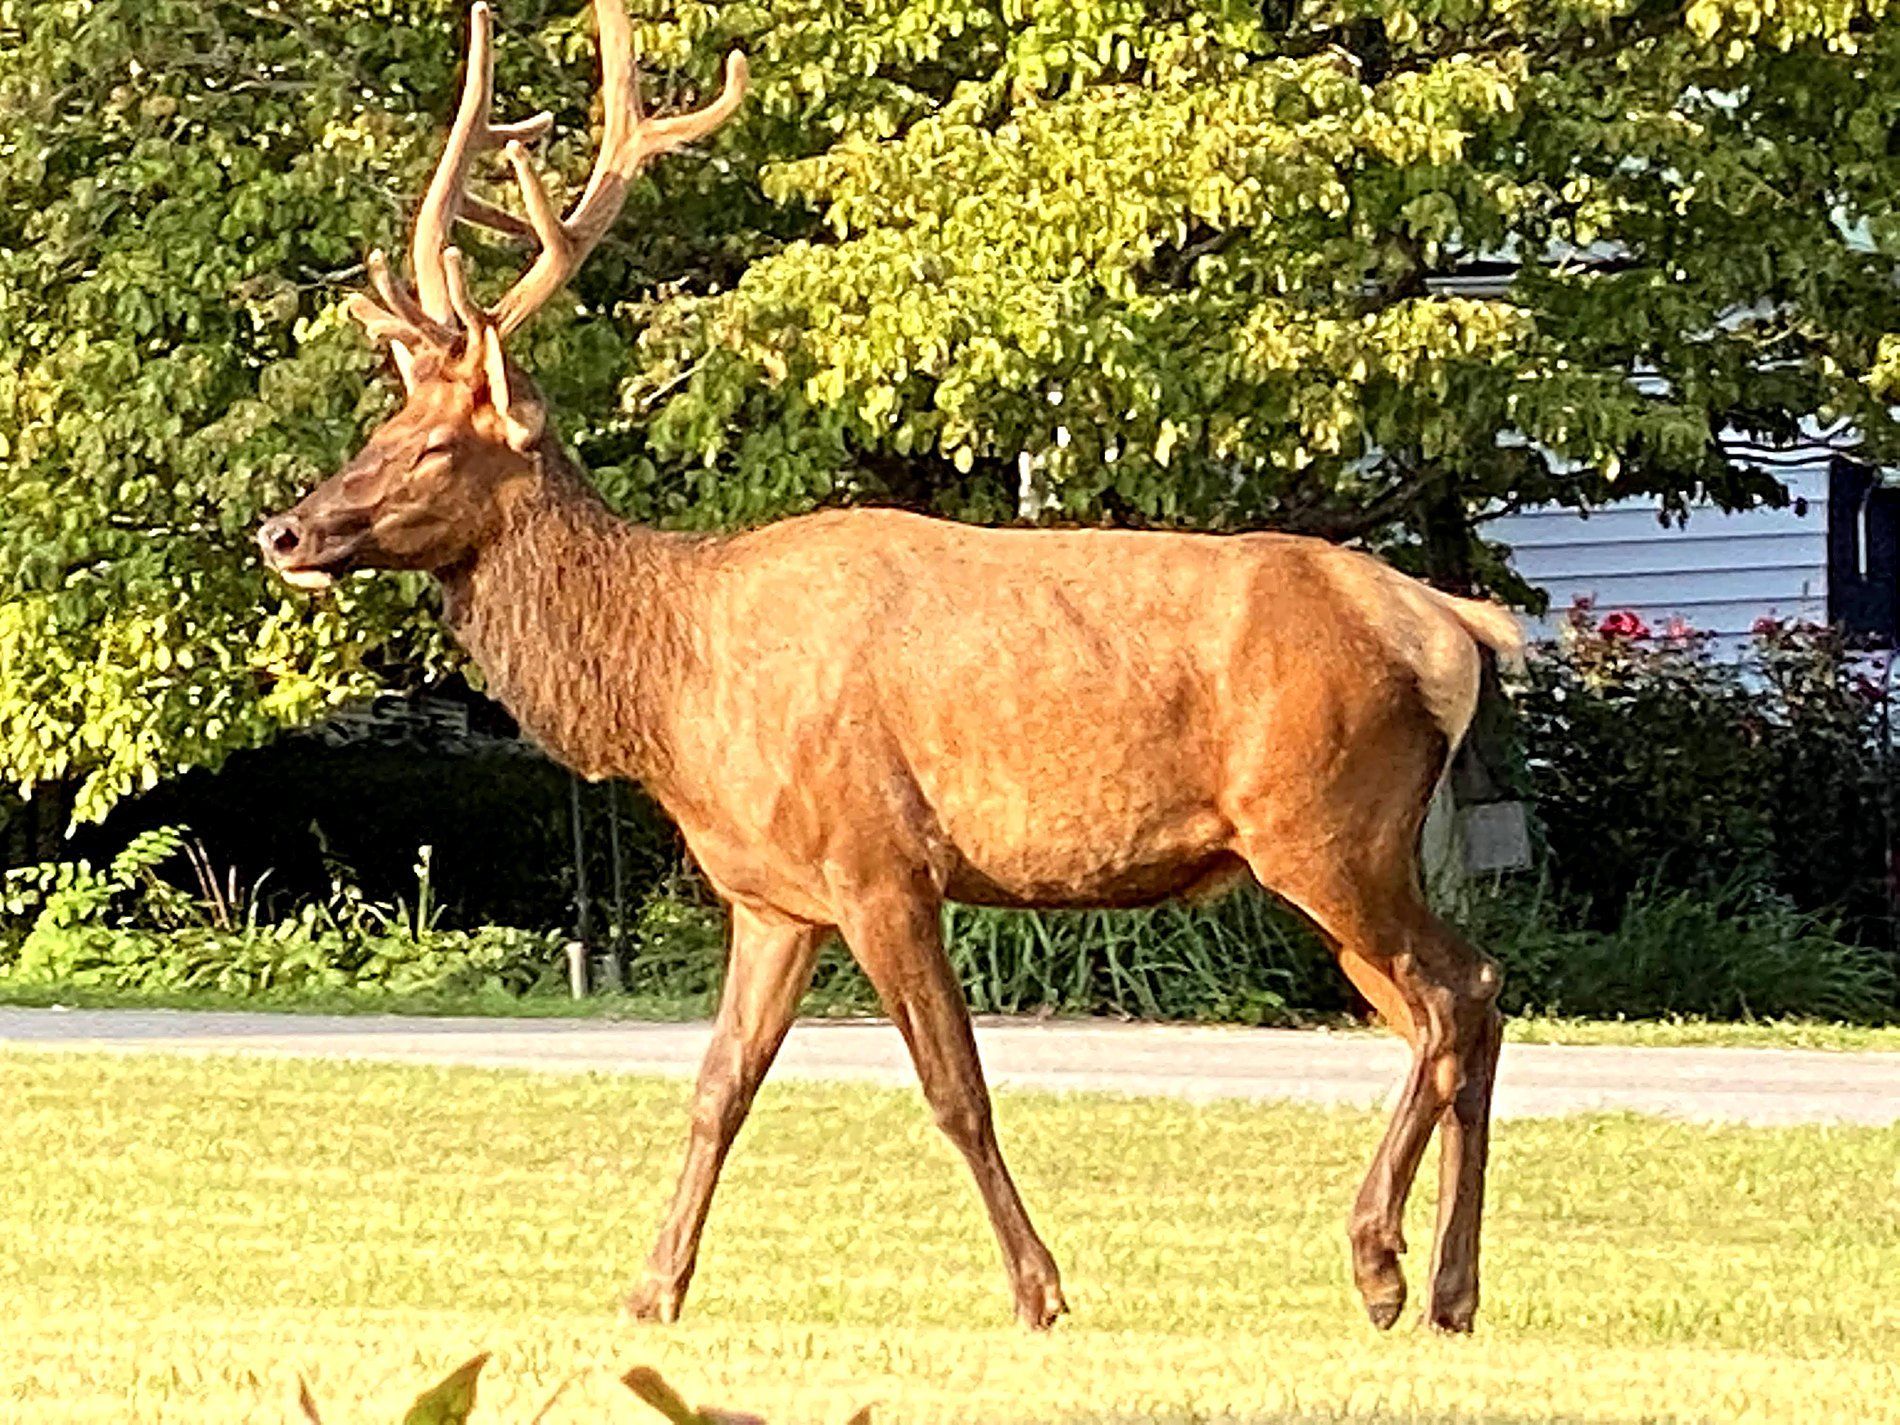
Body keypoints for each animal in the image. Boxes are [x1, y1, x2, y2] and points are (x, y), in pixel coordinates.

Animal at [257, 0, 1522, 1335]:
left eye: (433, 446)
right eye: (380, 426)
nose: (284, 532)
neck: (671, 696)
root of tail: (1455, 627)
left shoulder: (879, 862)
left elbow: (954, 1087)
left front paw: (1039, 1291)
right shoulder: (770, 897)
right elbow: (718, 1086)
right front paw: (651, 1292)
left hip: (1323, 825)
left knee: (1450, 997)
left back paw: (1379, 1261)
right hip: (1343, 846)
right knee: (1466, 997)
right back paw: (1449, 1290)